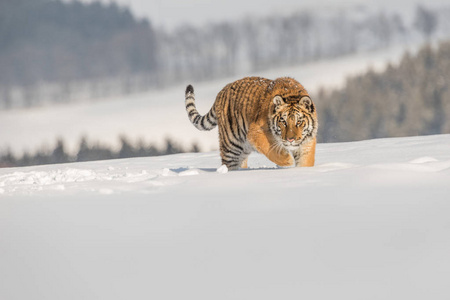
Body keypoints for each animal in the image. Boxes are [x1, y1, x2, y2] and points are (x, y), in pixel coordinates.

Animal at [185, 77, 318, 171]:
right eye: (283, 122)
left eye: (299, 122)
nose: (290, 139)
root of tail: (221, 91)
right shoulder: (255, 131)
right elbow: (270, 149)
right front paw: (287, 160)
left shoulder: (306, 142)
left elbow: (306, 161)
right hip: (231, 145)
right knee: (228, 163)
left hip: (243, 149)